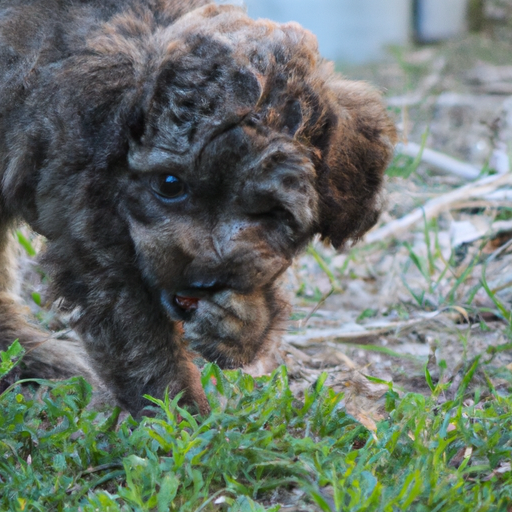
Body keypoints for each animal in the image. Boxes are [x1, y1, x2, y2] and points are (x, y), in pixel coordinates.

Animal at [0, 0, 396, 416]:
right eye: (170, 185)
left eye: (271, 212)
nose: (204, 281)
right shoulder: (88, 219)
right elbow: (134, 330)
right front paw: (181, 414)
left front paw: (241, 323)